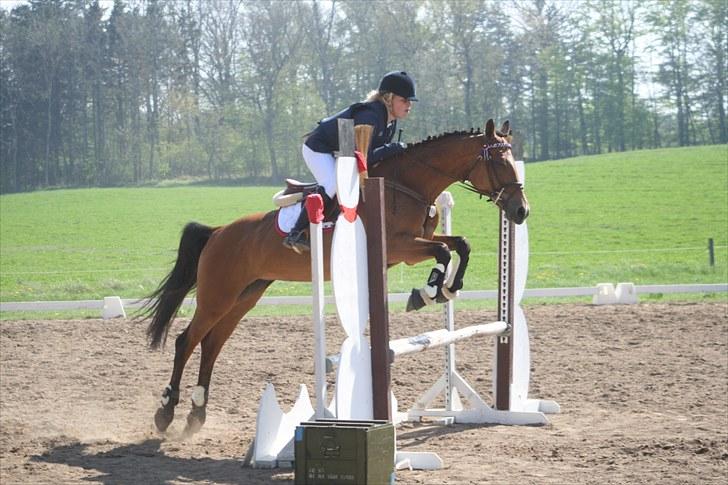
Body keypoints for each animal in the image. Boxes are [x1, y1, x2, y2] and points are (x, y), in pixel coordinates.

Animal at [144, 118, 528, 434]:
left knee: (211, 345)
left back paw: (196, 415)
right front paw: (429, 291)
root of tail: (218, 232)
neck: (408, 184)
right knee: (186, 341)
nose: (521, 211)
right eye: (498, 162)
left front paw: (447, 288)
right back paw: (166, 413)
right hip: (217, 296)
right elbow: (444, 253)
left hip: (245, 297)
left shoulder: (413, 245)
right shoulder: (400, 248)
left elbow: (460, 244)